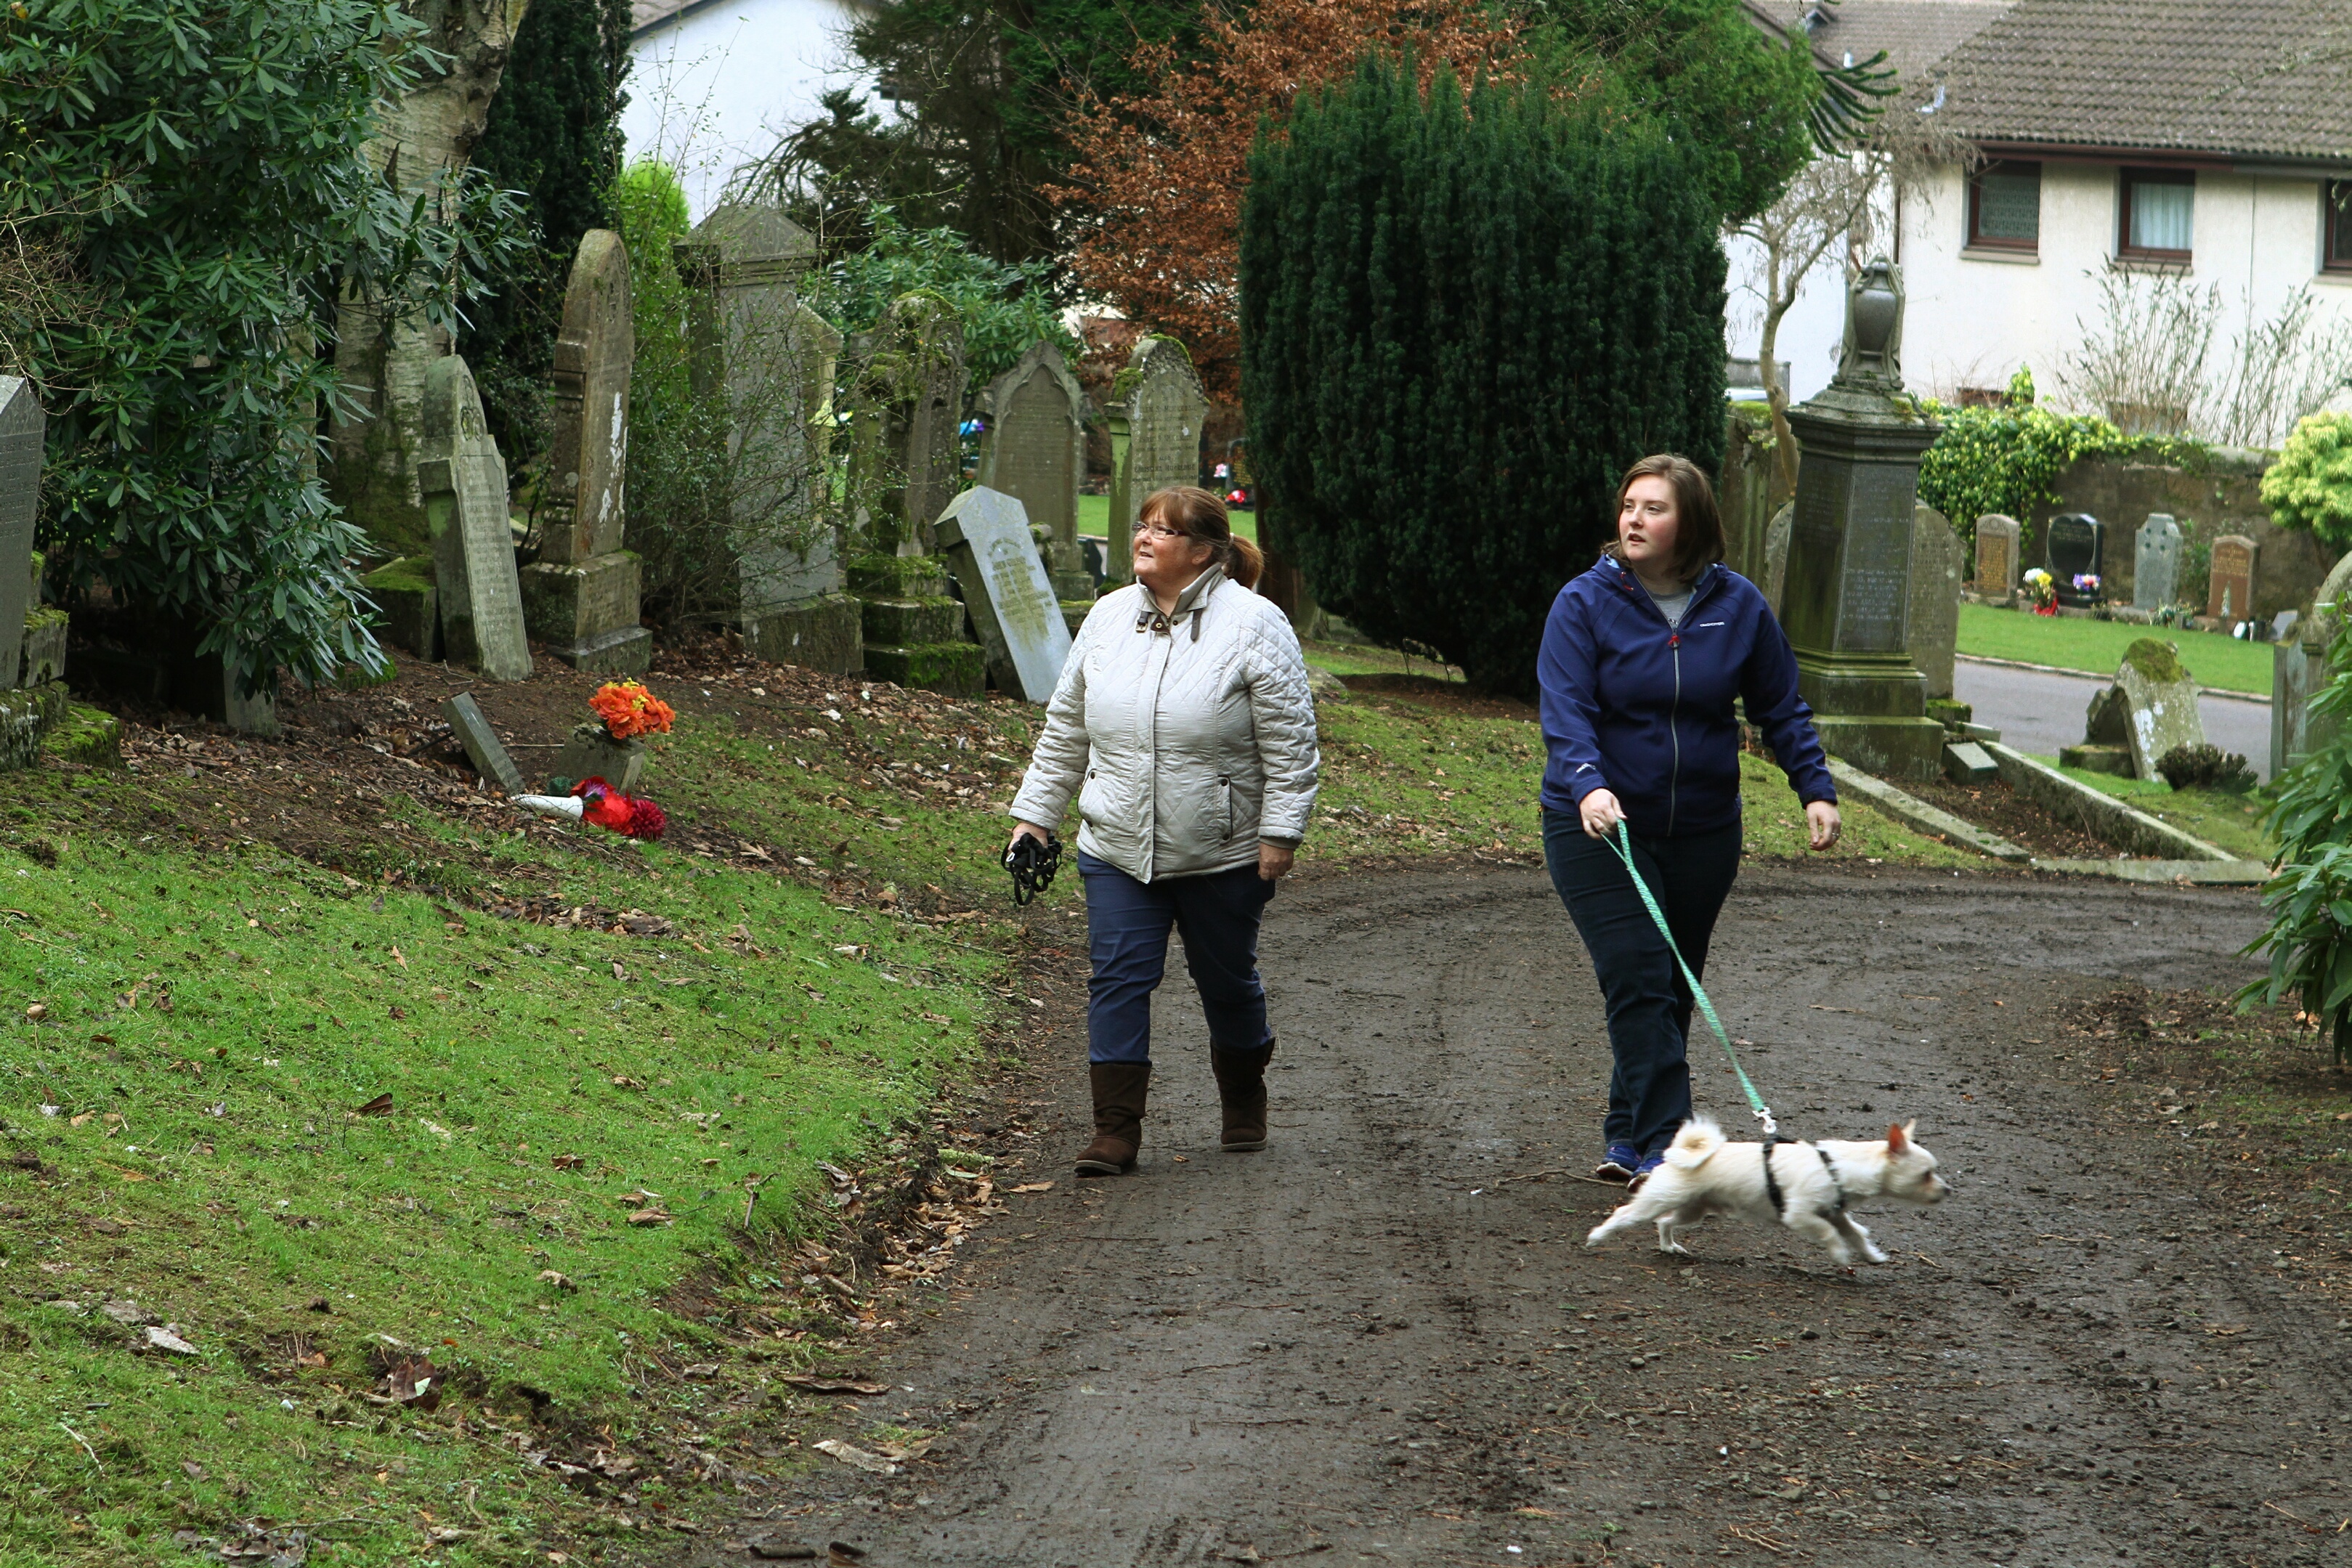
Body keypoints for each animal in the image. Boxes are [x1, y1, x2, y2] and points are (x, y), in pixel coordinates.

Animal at [1580, 1114, 1947, 1259]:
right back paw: (1597, 1237)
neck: (1838, 1165)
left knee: (1665, 1222)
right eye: (1926, 1174)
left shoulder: (1837, 1213)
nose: (1947, 1191)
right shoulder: (1800, 1216)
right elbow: (1829, 1234)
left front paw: (1871, 1255)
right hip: (1658, 1200)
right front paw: (1841, 1255)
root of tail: (1679, 1155)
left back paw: (1669, 1246)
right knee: (1626, 1214)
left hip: (1694, 1209)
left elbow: (1855, 1233)